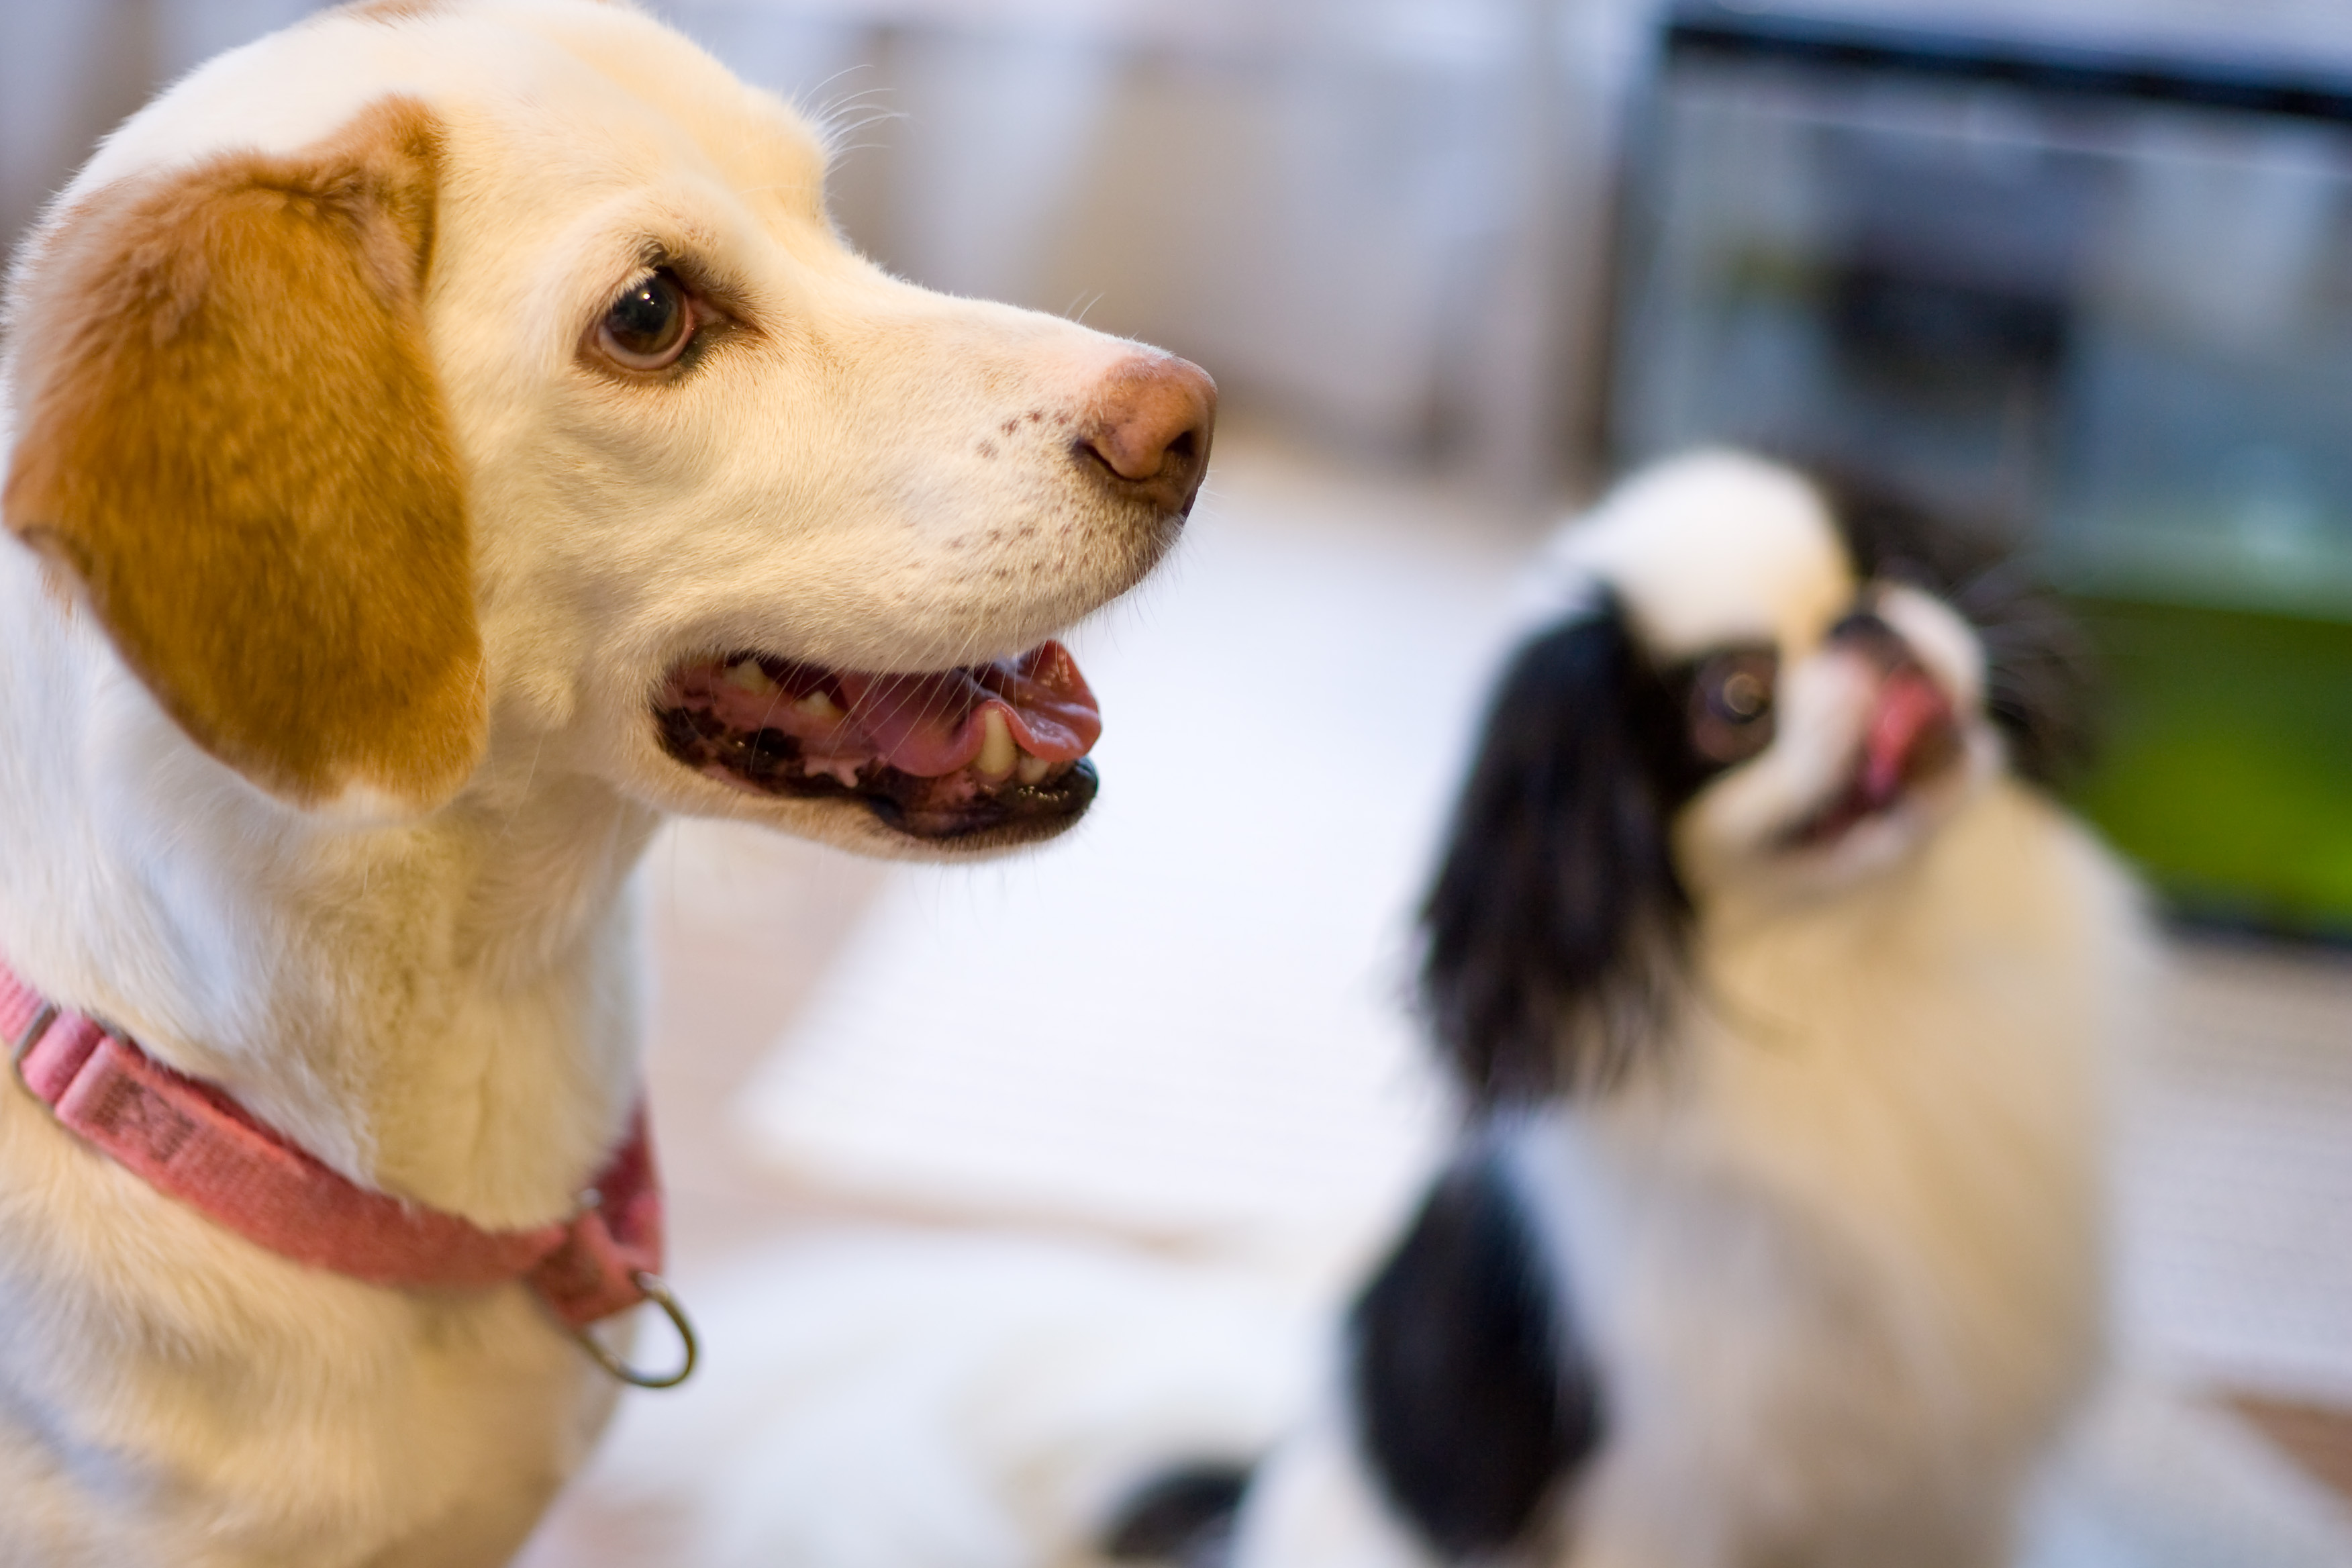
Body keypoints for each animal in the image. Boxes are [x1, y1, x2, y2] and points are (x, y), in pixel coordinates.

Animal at [1100, 446, 2154, 1568]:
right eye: (1738, 701)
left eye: (1898, 567)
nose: (1864, 625)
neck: (1869, 963)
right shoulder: (1668, 1502)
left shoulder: (1947, 1502)